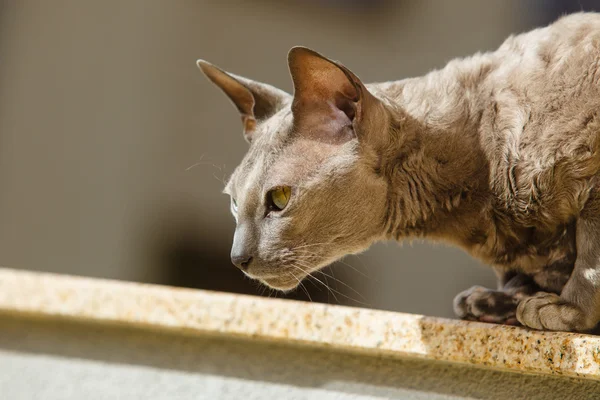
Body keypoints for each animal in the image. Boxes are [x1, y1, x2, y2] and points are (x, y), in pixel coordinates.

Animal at [199, 11, 600, 332]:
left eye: (279, 198)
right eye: (234, 202)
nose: (237, 258)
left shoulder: (593, 187)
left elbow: (590, 257)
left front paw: (565, 309)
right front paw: (499, 301)